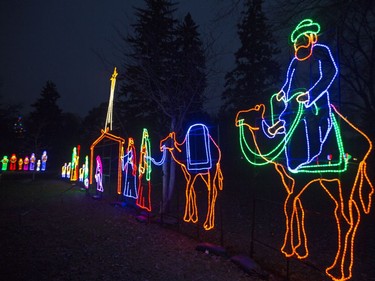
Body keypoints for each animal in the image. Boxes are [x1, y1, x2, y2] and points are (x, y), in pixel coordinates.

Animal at [235, 19, 374, 280]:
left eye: (254, 109)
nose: (238, 117)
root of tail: (367, 144)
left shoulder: (299, 177)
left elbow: (290, 205)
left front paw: (288, 248)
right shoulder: (289, 179)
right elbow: (297, 208)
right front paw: (299, 249)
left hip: (347, 178)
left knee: (348, 218)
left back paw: (339, 271)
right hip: (332, 181)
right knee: (344, 216)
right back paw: (334, 267)